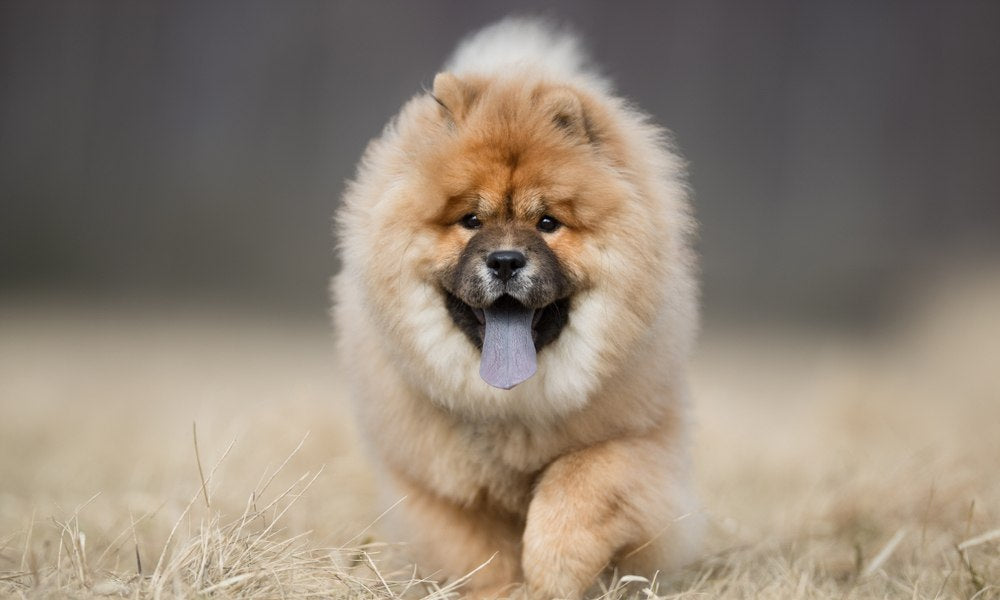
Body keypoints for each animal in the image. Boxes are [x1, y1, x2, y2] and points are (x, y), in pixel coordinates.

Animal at [336, 18, 704, 600]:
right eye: (470, 220)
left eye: (548, 223)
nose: (506, 260)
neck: (512, 407)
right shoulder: (437, 481)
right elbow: (478, 553)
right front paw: (508, 587)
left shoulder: (641, 439)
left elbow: (581, 482)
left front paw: (554, 568)